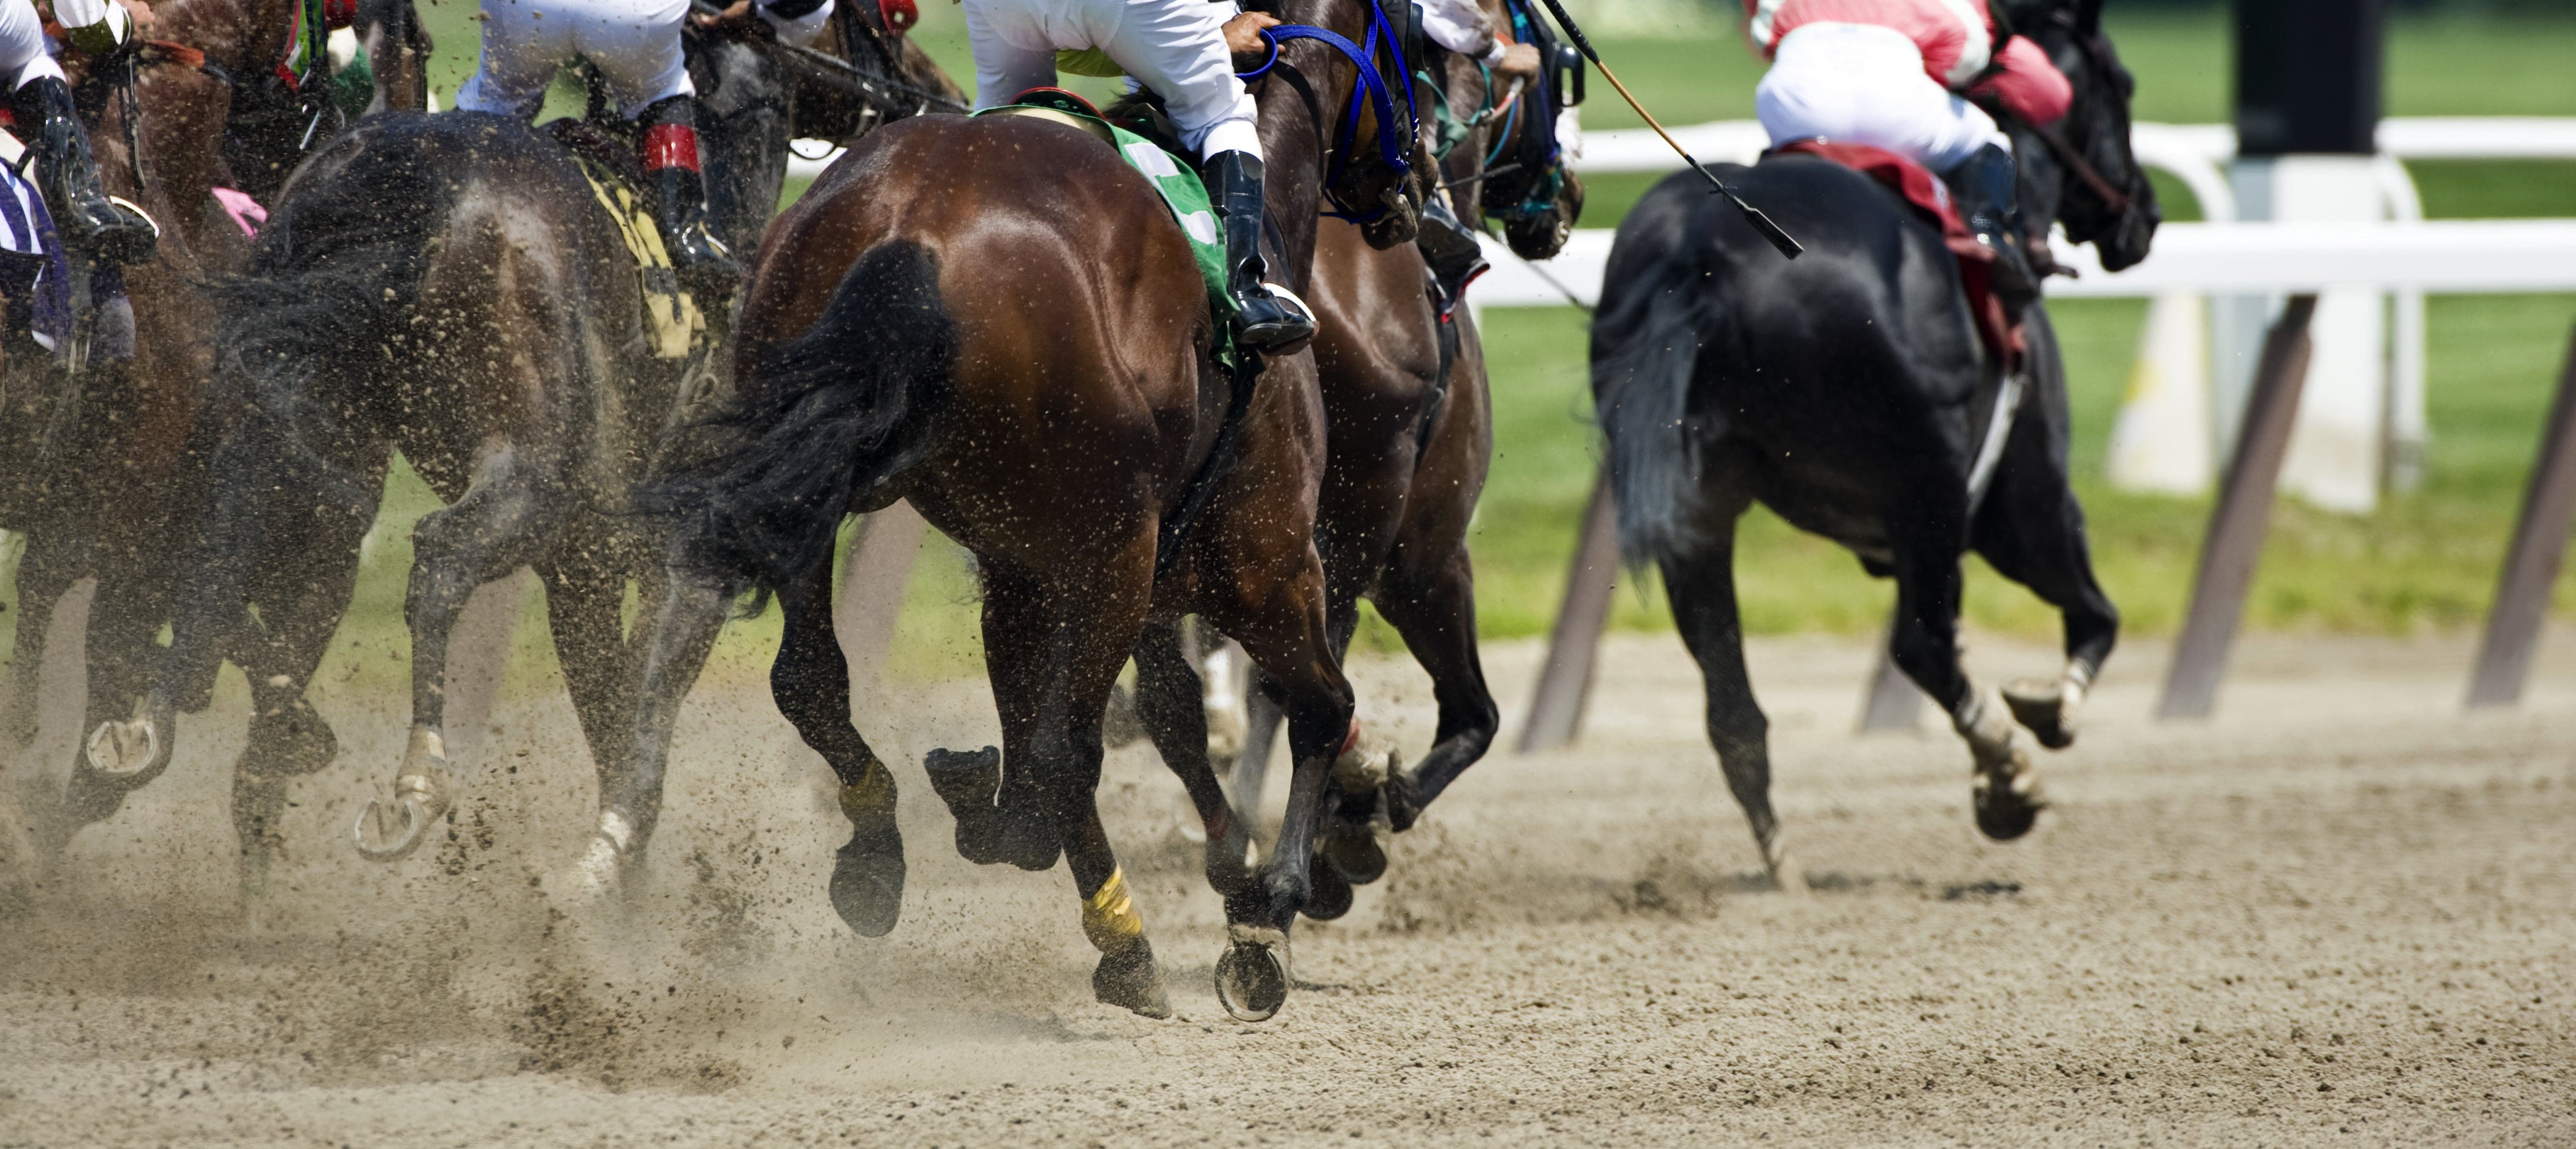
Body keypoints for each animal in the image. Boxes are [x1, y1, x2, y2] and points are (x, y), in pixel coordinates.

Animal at [619, 0, 1428, 1023]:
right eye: (1413, 48)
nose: (1419, 195)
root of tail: (915, 224)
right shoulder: (1267, 561)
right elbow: (1319, 705)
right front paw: (1268, 913)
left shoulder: (1020, 565)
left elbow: (1039, 739)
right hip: (1122, 550)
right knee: (1066, 751)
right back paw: (1123, 939)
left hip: (817, 475)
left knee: (813, 679)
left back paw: (883, 851)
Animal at [1590, 0, 2157, 884]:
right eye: (2122, 86)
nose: (2146, 217)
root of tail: (1706, 250)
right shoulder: (2022, 501)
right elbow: (2095, 615)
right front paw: (2044, 715)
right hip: (1931, 488)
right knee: (1921, 645)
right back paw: (2007, 781)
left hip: (1697, 511)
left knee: (1732, 708)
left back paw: (1784, 866)